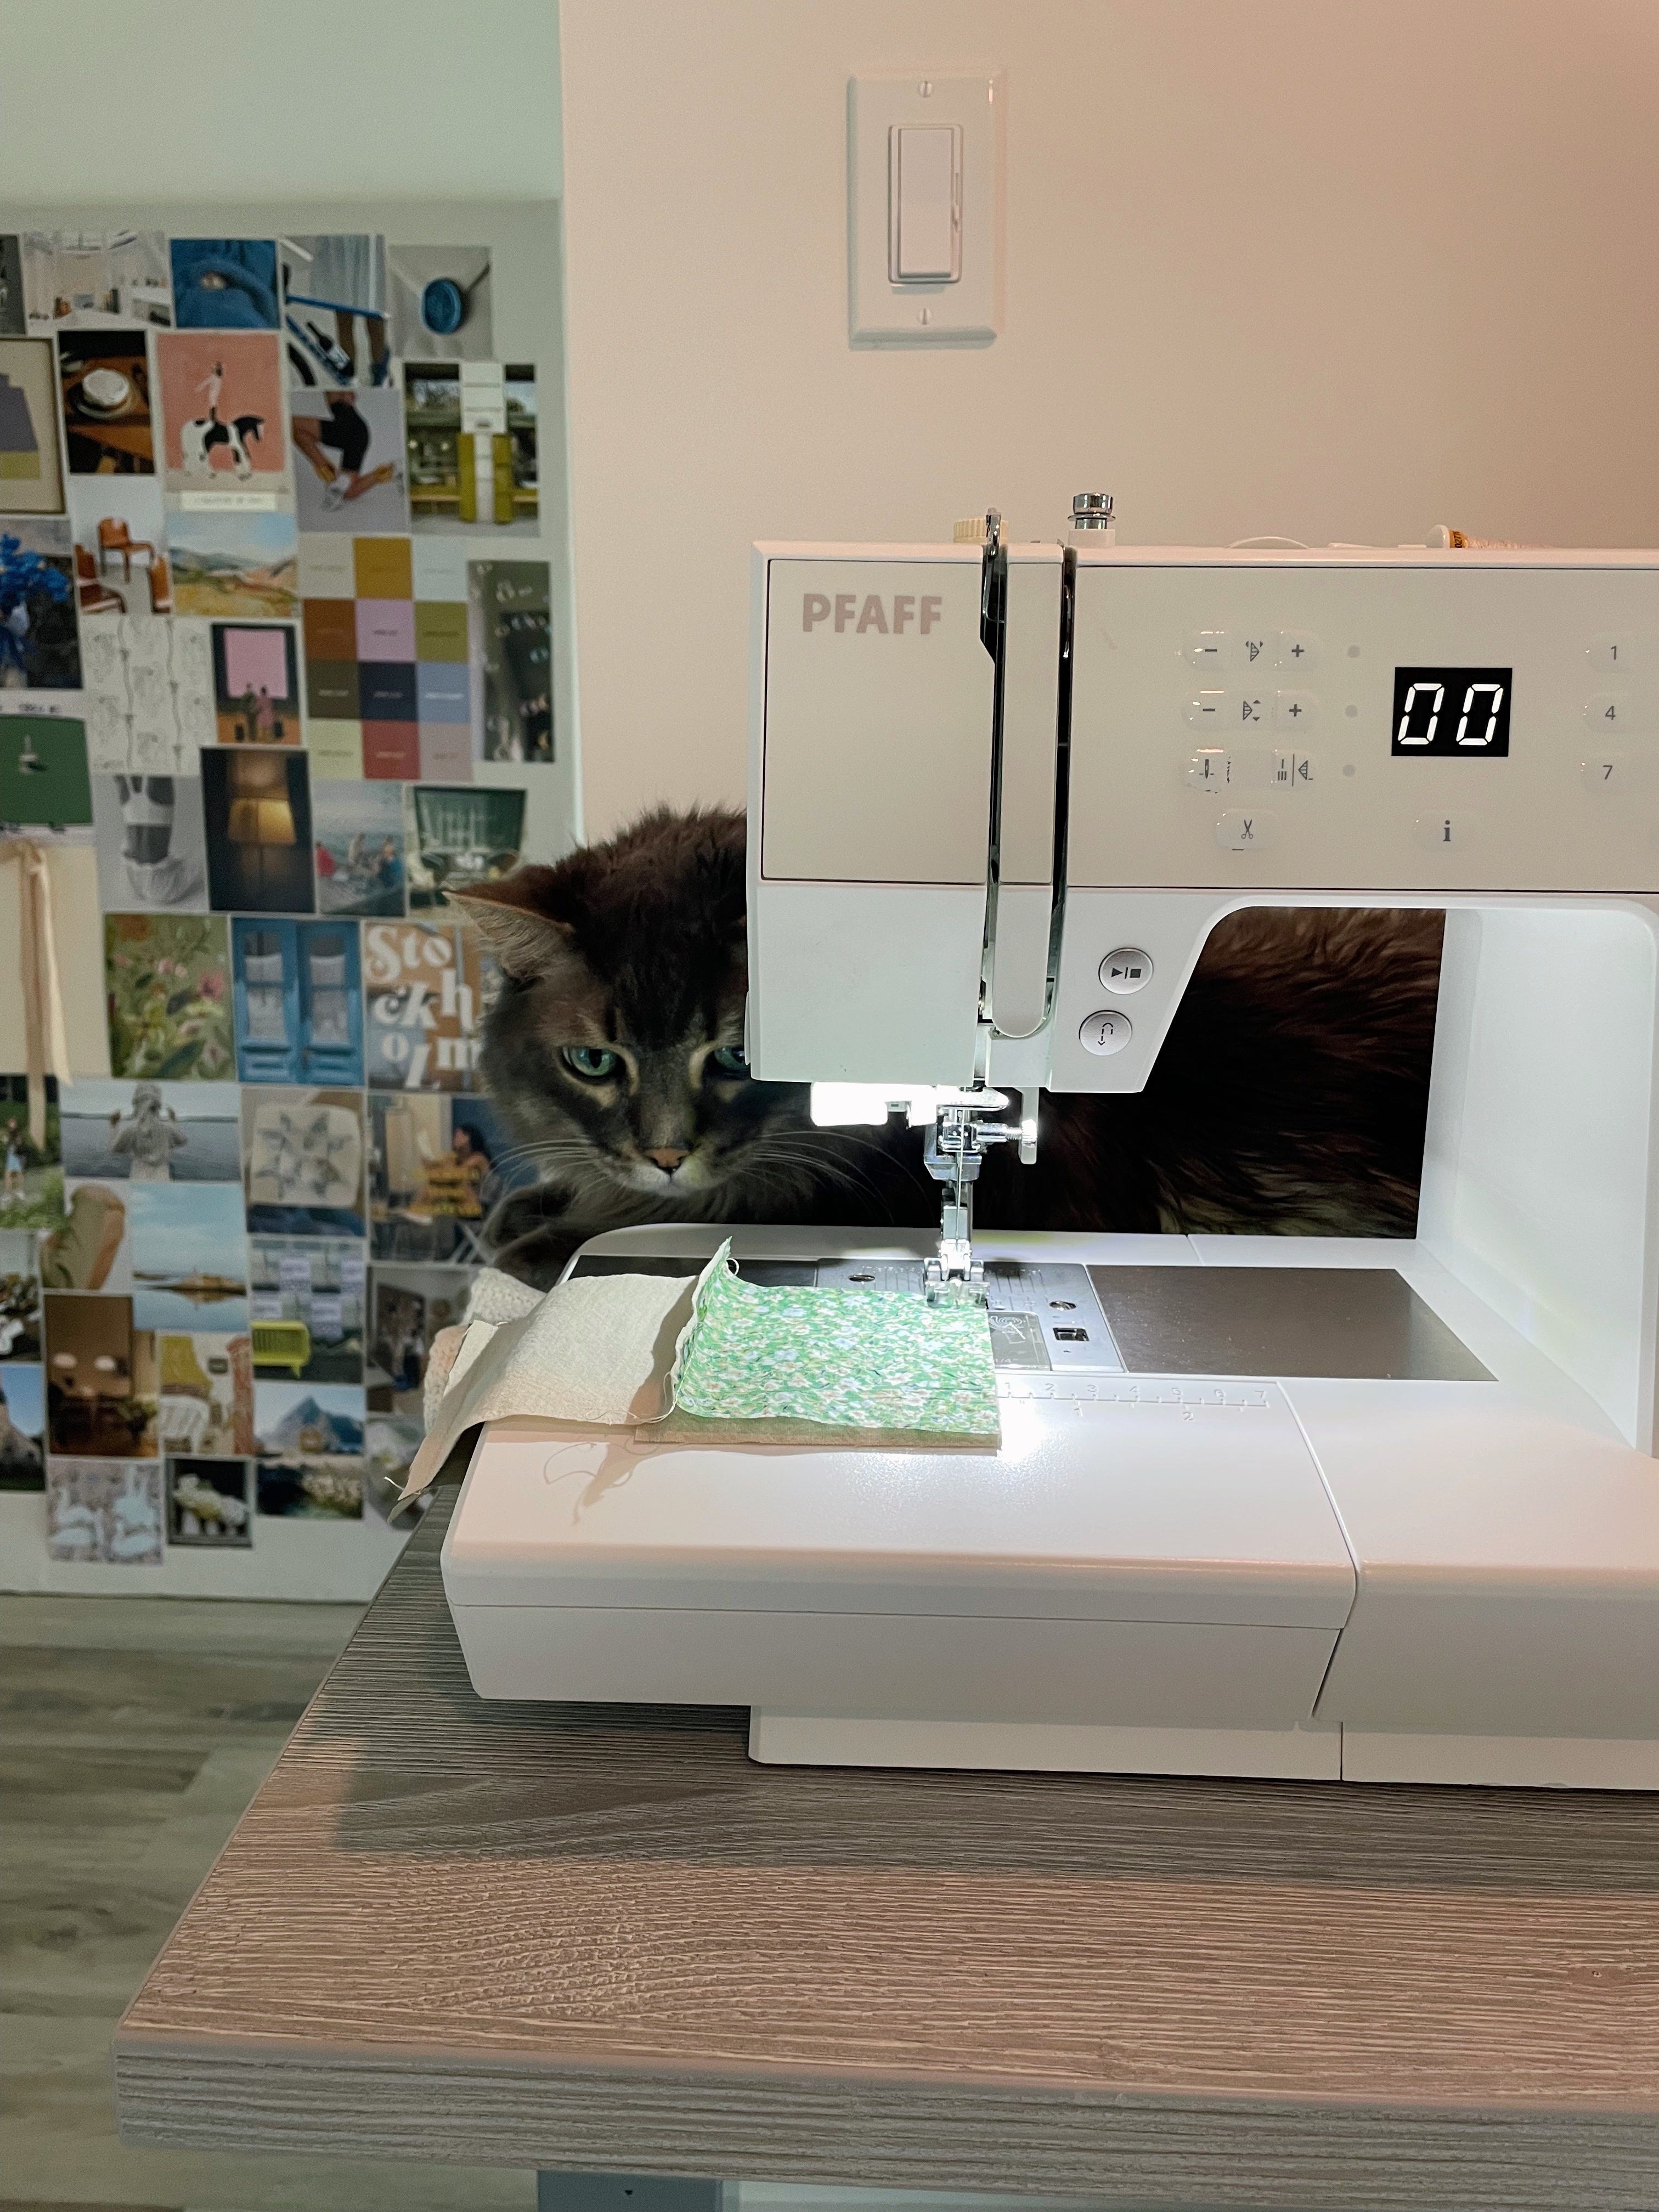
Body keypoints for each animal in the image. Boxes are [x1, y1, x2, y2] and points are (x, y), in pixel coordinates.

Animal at [178, 411, 264, 481]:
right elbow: (242, 458)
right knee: (201, 457)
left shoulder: (236, 447)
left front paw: (245, 474)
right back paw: (210, 474)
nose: (259, 439)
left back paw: (189, 473)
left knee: (190, 456)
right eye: (259, 427)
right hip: (204, 445)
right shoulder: (238, 447)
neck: (238, 431)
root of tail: (187, 426)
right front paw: (243, 475)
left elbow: (240, 458)